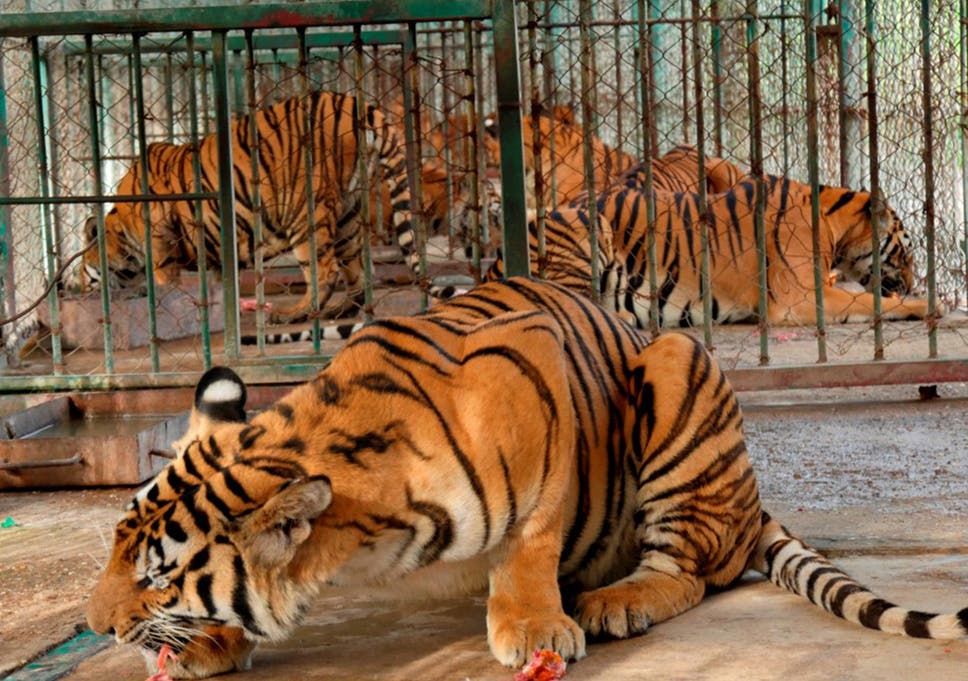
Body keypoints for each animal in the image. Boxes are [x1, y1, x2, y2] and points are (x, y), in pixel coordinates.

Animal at [75, 91, 415, 324]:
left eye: (83, 270)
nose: (77, 289)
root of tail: (352, 101)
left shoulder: (162, 244)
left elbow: (167, 284)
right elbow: (218, 285)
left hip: (305, 213)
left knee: (325, 271)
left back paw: (291, 315)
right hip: (348, 214)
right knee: (360, 272)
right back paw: (340, 311)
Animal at [88, 277, 966, 679]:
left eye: (158, 576)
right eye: (115, 548)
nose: (96, 625)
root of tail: (753, 501)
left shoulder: (532, 381)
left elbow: (531, 535)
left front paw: (535, 625)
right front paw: (212, 640)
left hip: (680, 364)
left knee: (692, 569)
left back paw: (613, 600)